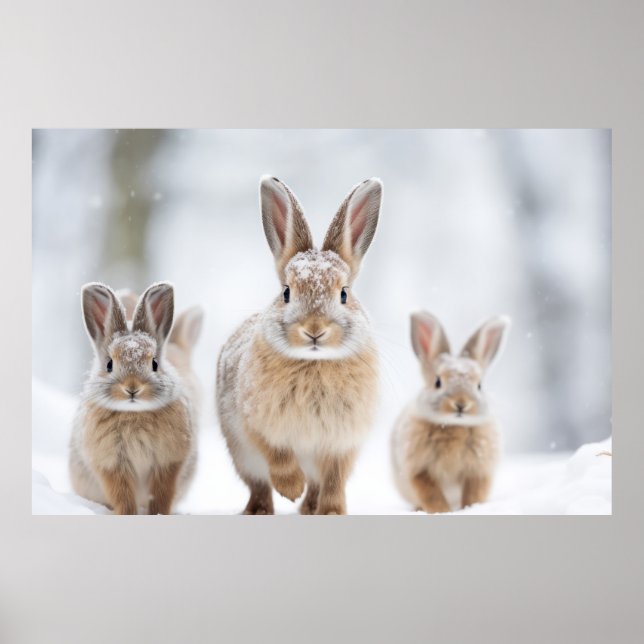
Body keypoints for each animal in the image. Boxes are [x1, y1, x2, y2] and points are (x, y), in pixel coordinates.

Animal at [69, 282, 204, 514]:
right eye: (109, 364)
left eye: (155, 363)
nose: (132, 388)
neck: (134, 413)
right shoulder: (112, 464)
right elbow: (122, 495)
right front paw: (127, 514)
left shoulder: (167, 462)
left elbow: (161, 494)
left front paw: (158, 514)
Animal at [216, 176, 382, 515]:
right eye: (286, 293)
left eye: (343, 294)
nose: (314, 330)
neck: (314, 363)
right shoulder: (257, 425)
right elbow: (278, 456)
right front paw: (291, 488)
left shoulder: (341, 444)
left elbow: (333, 481)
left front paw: (331, 512)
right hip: (242, 457)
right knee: (259, 487)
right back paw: (260, 511)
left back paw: (309, 508)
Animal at [391, 311, 511, 513]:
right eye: (438, 382)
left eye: (479, 386)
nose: (461, 404)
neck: (455, 425)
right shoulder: (419, 470)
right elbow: (431, 494)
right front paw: (442, 511)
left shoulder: (478, 470)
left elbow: (474, 492)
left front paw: (470, 509)